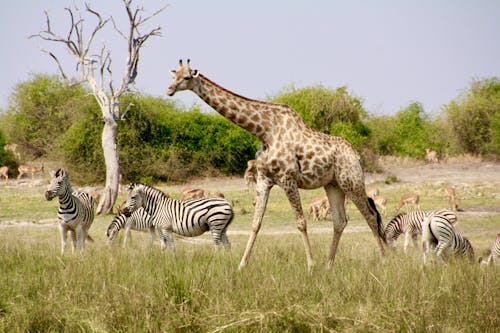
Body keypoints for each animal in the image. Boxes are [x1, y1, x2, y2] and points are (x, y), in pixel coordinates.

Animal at [166, 59, 384, 270]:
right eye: (173, 75)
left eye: (186, 77)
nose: (169, 89)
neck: (265, 131)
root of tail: (356, 155)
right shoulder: (264, 179)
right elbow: (255, 223)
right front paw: (242, 265)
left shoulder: (288, 179)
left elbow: (301, 222)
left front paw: (310, 266)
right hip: (333, 185)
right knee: (340, 221)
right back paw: (329, 266)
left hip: (351, 182)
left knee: (371, 216)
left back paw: (384, 260)